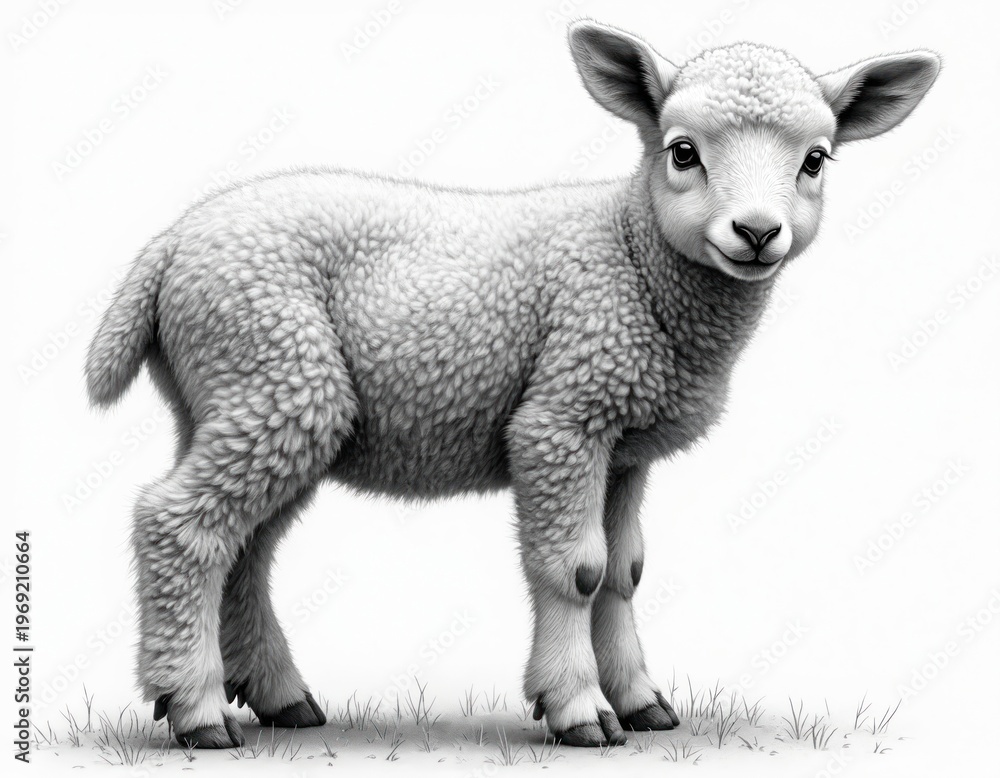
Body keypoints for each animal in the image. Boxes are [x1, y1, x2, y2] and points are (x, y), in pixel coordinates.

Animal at [84, 20, 939, 749]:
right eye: (682, 151)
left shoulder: (626, 444)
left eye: (816, 160)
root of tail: (170, 245)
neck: (634, 258)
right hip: (270, 367)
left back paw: (278, 696)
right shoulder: (563, 416)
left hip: (243, 397)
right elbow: (578, 569)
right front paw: (579, 708)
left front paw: (642, 700)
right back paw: (195, 709)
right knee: (178, 524)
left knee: (244, 547)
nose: (758, 232)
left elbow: (624, 572)